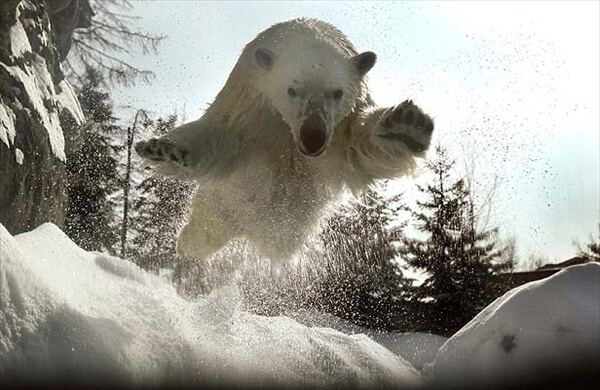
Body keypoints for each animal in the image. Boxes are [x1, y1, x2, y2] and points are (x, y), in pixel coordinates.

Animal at [136, 17, 434, 262]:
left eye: (337, 92)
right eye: (292, 90)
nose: (313, 137)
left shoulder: (341, 127)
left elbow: (357, 148)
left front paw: (407, 126)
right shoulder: (249, 101)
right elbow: (222, 135)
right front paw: (162, 148)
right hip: (221, 203)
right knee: (202, 232)